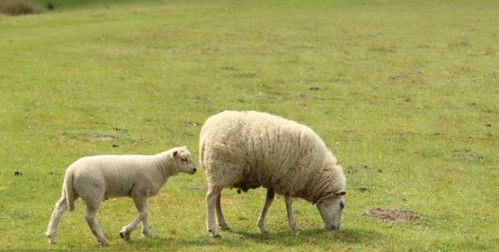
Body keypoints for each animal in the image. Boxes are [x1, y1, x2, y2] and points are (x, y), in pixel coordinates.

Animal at [45, 146, 197, 244]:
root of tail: (71, 171)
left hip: (71, 191)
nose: (194, 169)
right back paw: (102, 239)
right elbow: (143, 212)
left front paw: (146, 232)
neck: (159, 166)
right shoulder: (138, 191)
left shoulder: (144, 193)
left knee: (59, 208)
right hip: (93, 192)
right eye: (184, 159)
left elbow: (145, 213)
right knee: (89, 217)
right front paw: (125, 232)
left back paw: (51, 236)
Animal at [199, 111, 348, 237]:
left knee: (216, 198)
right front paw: (294, 226)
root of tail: (206, 133)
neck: (315, 171)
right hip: (222, 169)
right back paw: (213, 230)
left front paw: (261, 226)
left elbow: (269, 200)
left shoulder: (274, 177)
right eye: (341, 205)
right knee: (210, 198)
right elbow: (288, 202)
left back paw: (223, 224)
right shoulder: (290, 179)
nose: (336, 228)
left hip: (219, 173)